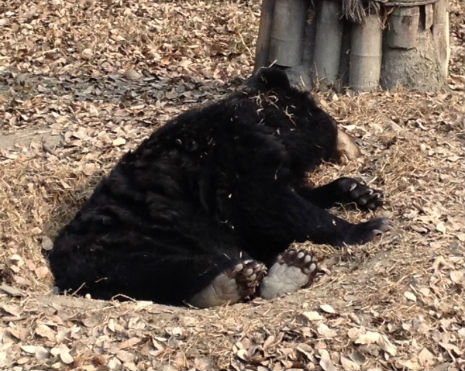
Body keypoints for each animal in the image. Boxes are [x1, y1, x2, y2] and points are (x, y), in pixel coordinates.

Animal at [49, 67, 386, 308]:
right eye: (331, 119)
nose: (354, 143)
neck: (270, 125)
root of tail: (58, 265)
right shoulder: (233, 156)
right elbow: (270, 205)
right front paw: (368, 228)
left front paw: (362, 193)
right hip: (120, 245)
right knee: (164, 269)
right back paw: (241, 280)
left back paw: (289, 268)